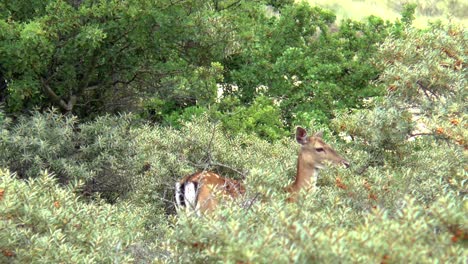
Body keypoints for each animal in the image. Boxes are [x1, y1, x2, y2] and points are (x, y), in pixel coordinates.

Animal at [174, 126, 350, 214]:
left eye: (330, 144)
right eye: (319, 148)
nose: (346, 163)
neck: (293, 193)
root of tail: (189, 180)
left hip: (182, 212)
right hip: (210, 211)